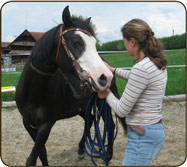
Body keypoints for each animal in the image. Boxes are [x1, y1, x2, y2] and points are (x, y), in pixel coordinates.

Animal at [15, 6, 125, 166]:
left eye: (94, 43)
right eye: (76, 42)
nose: (104, 77)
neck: (33, 92)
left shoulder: (46, 125)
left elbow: (32, 157)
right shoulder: (27, 123)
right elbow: (42, 153)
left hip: (102, 103)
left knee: (110, 126)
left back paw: (107, 156)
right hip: (82, 107)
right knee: (90, 120)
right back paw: (82, 149)